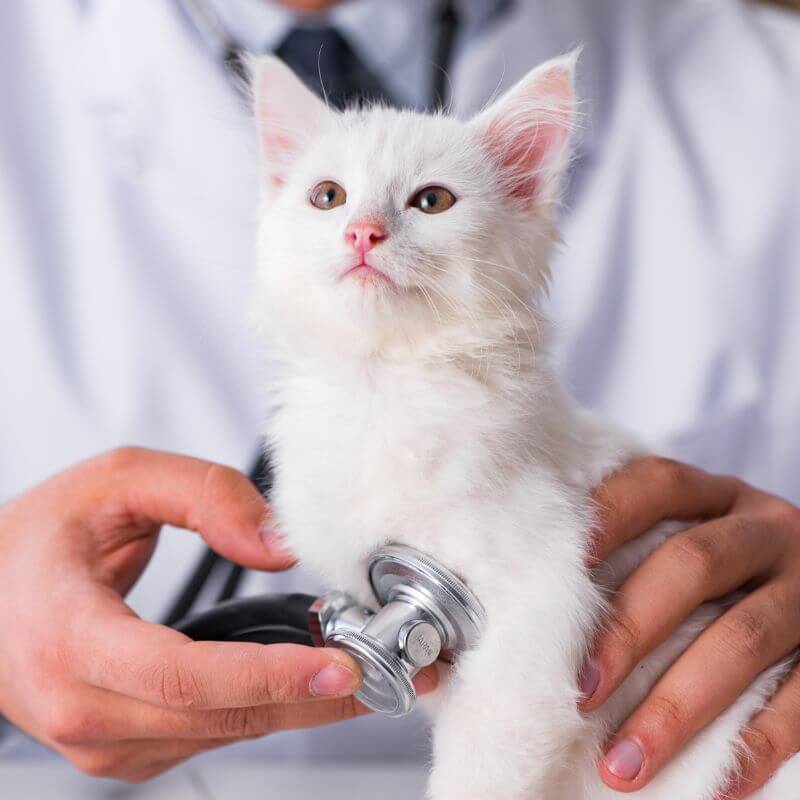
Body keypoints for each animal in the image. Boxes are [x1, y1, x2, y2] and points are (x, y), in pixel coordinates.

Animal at [247, 56, 796, 800]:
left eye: (431, 202)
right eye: (328, 196)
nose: (362, 231)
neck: (384, 388)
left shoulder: (534, 612)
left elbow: (485, 763)